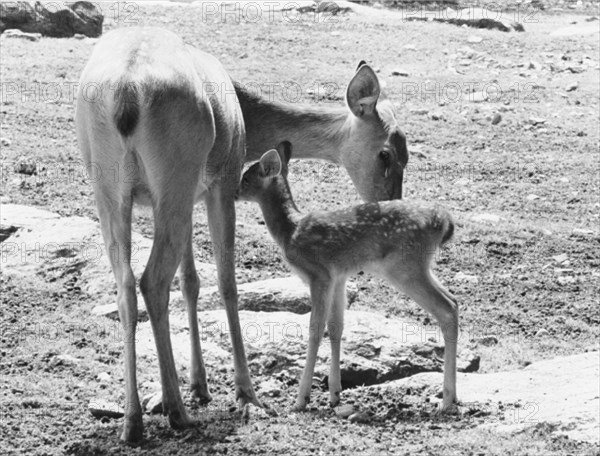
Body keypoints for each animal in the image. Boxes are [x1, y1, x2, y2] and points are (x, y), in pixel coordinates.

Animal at [74, 25, 404, 442]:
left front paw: (200, 385)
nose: (393, 205)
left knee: (127, 286)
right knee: (153, 280)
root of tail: (127, 91)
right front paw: (245, 392)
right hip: (173, 182)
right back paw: (177, 412)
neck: (246, 114)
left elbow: (191, 281)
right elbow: (227, 282)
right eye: (386, 153)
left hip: (111, 192)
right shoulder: (222, 185)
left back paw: (134, 421)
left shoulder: (187, 199)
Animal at [237, 143, 458, 414]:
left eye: (246, 178)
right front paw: (334, 394)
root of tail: (444, 222)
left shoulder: (318, 273)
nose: (234, 192)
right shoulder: (338, 276)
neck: (290, 232)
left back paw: (446, 400)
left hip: (404, 267)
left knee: (446, 308)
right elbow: (336, 327)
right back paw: (452, 397)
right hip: (418, 267)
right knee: (454, 301)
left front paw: (301, 399)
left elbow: (315, 328)